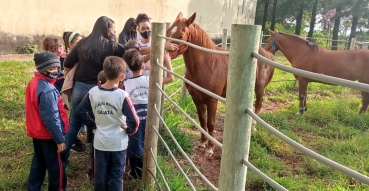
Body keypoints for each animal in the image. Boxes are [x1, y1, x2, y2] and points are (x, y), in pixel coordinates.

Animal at [166, 12, 274, 157]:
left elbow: (211, 123)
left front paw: (210, 149)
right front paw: (202, 143)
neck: (207, 64)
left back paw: (252, 128)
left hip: (259, 88)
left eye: (180, 35)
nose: (165, 54)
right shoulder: (196, 98)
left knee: (258, 105)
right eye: (168, 31)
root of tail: (267, 54)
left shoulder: (212, 100)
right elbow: (202, 121)